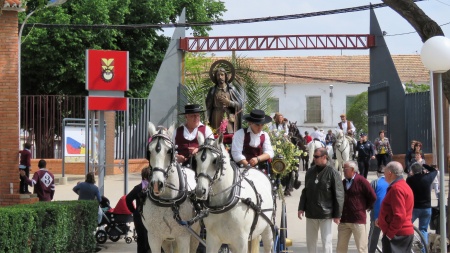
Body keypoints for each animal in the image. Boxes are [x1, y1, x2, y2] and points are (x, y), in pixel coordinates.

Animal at [143, 123, 200, 253]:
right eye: (149, 151)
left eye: (169, 150)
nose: (157, 184)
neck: (167, 201)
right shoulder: (153, 238)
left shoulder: (183, 237)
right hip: (167, 240)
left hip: (195, 235)